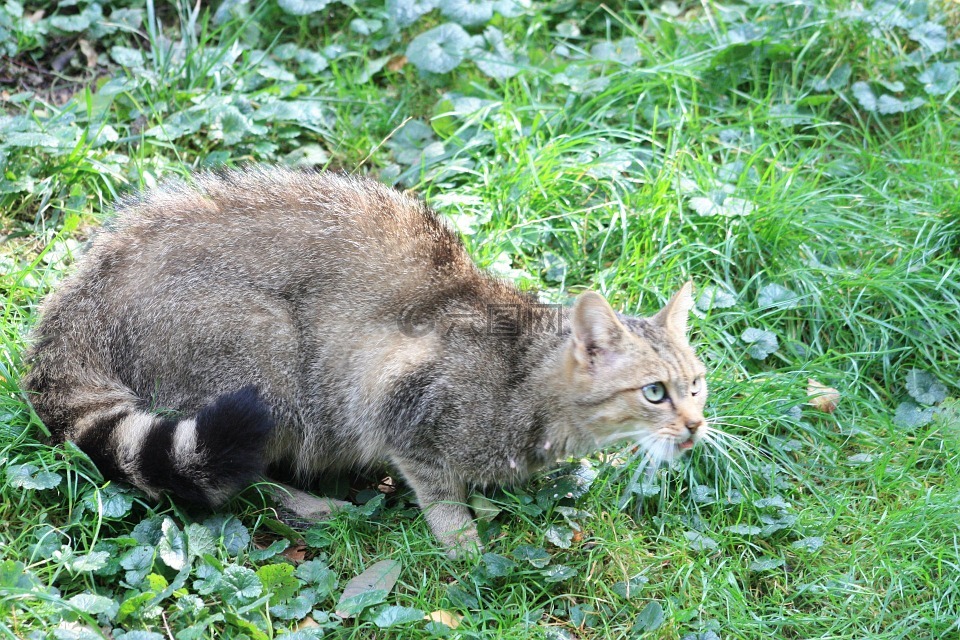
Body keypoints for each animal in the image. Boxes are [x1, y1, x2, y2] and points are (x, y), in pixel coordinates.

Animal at [24, 165, 712, 556]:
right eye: (654, 392)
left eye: (697, 386)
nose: (696, 424)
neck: (524, 377)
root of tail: (82, 295)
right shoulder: (400, 401)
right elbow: (436, 489)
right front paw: (463, 540)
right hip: (265, 358)